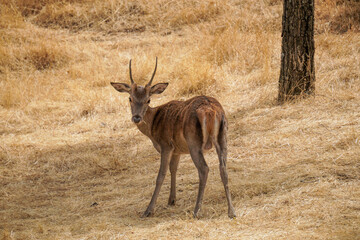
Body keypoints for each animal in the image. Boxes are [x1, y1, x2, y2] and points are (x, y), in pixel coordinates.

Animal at [111, 57, 238, 218]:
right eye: (130, 98)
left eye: (148, 100)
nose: (137, 117)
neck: (153, 127)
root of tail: (210, 110)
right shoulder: (177, 149)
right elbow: (174, 169)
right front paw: (172, 200)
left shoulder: (166, 145)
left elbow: (161, 175)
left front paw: (148, 210)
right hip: (223, 136)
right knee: (223, 168)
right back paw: (231, 211)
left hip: (194, 141)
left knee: (204, 169)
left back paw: (196, 211)